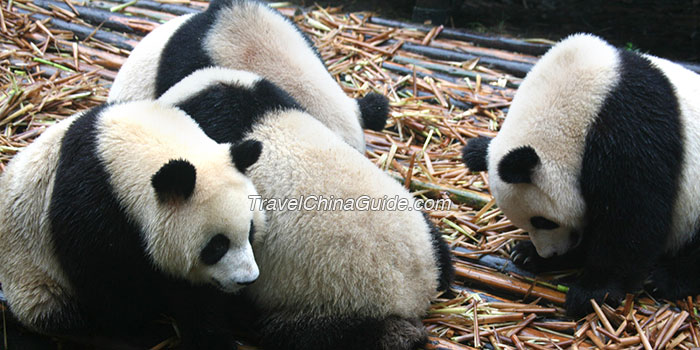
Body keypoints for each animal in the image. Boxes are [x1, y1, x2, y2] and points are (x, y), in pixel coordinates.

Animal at [0, 100, 266, 348]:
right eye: (217, 245)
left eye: (250, 232)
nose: (248, 279)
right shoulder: (92, 208)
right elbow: (109, 282)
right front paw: (145, 327)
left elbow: (196, 296)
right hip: (33, 278)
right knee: (56, 309)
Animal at [460, 33, 700, 318]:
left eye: (543, 221)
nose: (549, 253)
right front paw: (529, 254)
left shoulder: (630, 128)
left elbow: (633, 215)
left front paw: (593, 291)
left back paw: (666, 278)